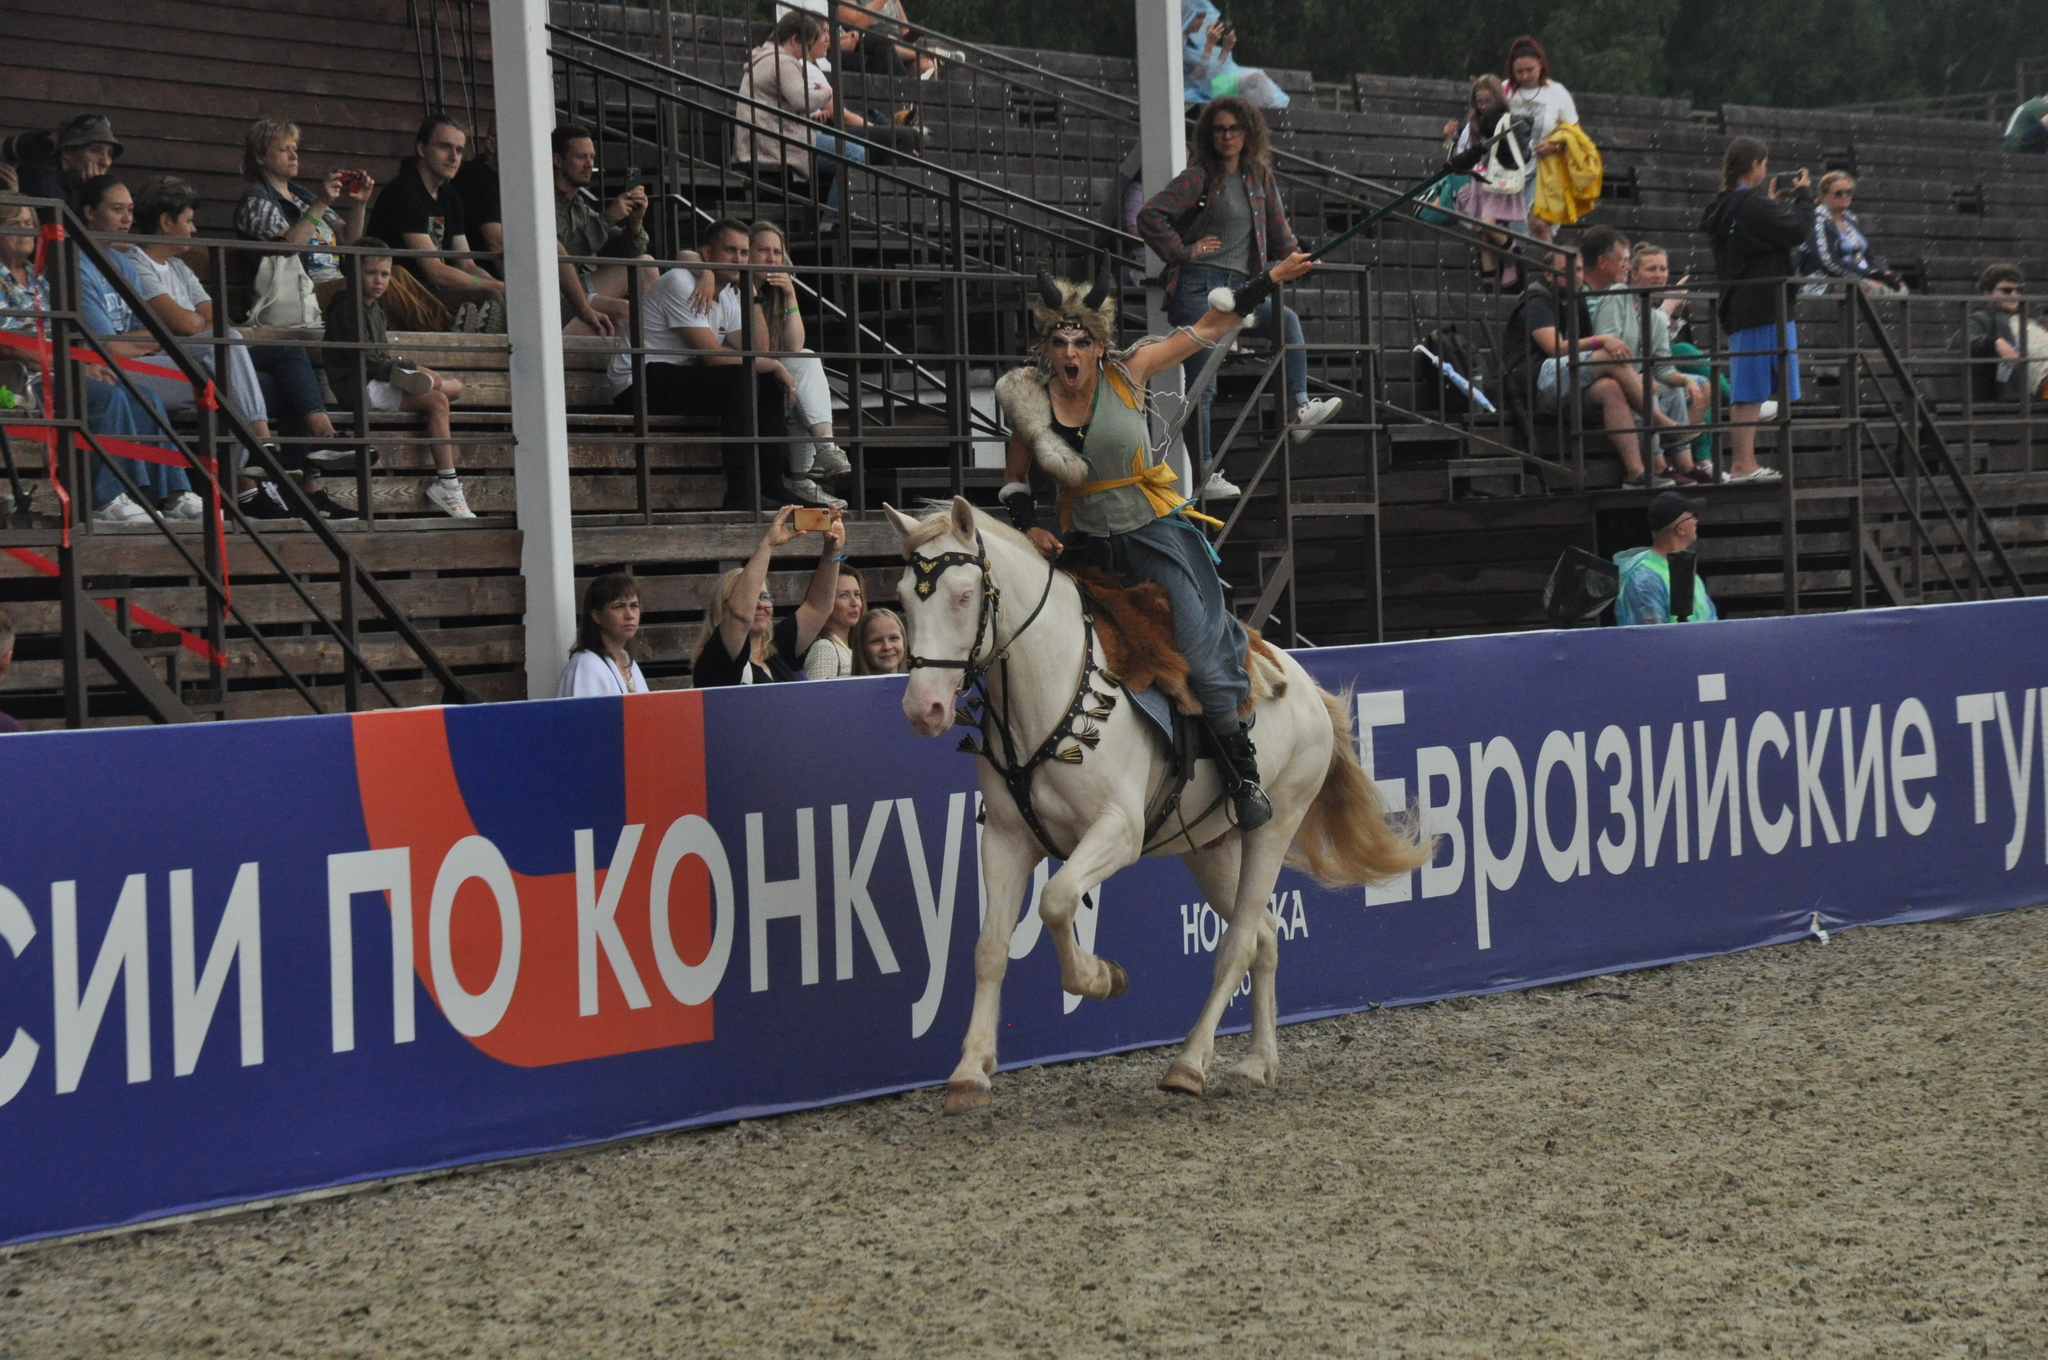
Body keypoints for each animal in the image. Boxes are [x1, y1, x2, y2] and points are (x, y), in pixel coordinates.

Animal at [888, 493, 1433, 1114]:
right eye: (903, 599)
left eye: (963, 595)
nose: (924, 708)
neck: (1048, 683)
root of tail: (1307, 687)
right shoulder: (1004, 837)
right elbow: (990, 948)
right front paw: (969, 1072)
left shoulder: (1117, 832)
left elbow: (1056, 900)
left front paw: (1103, 978)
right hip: (1210, 849)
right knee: (1265, 936)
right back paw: (1256, 1062)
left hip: (1274, 826)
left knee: (1238, 943)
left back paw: (1190, 1063)